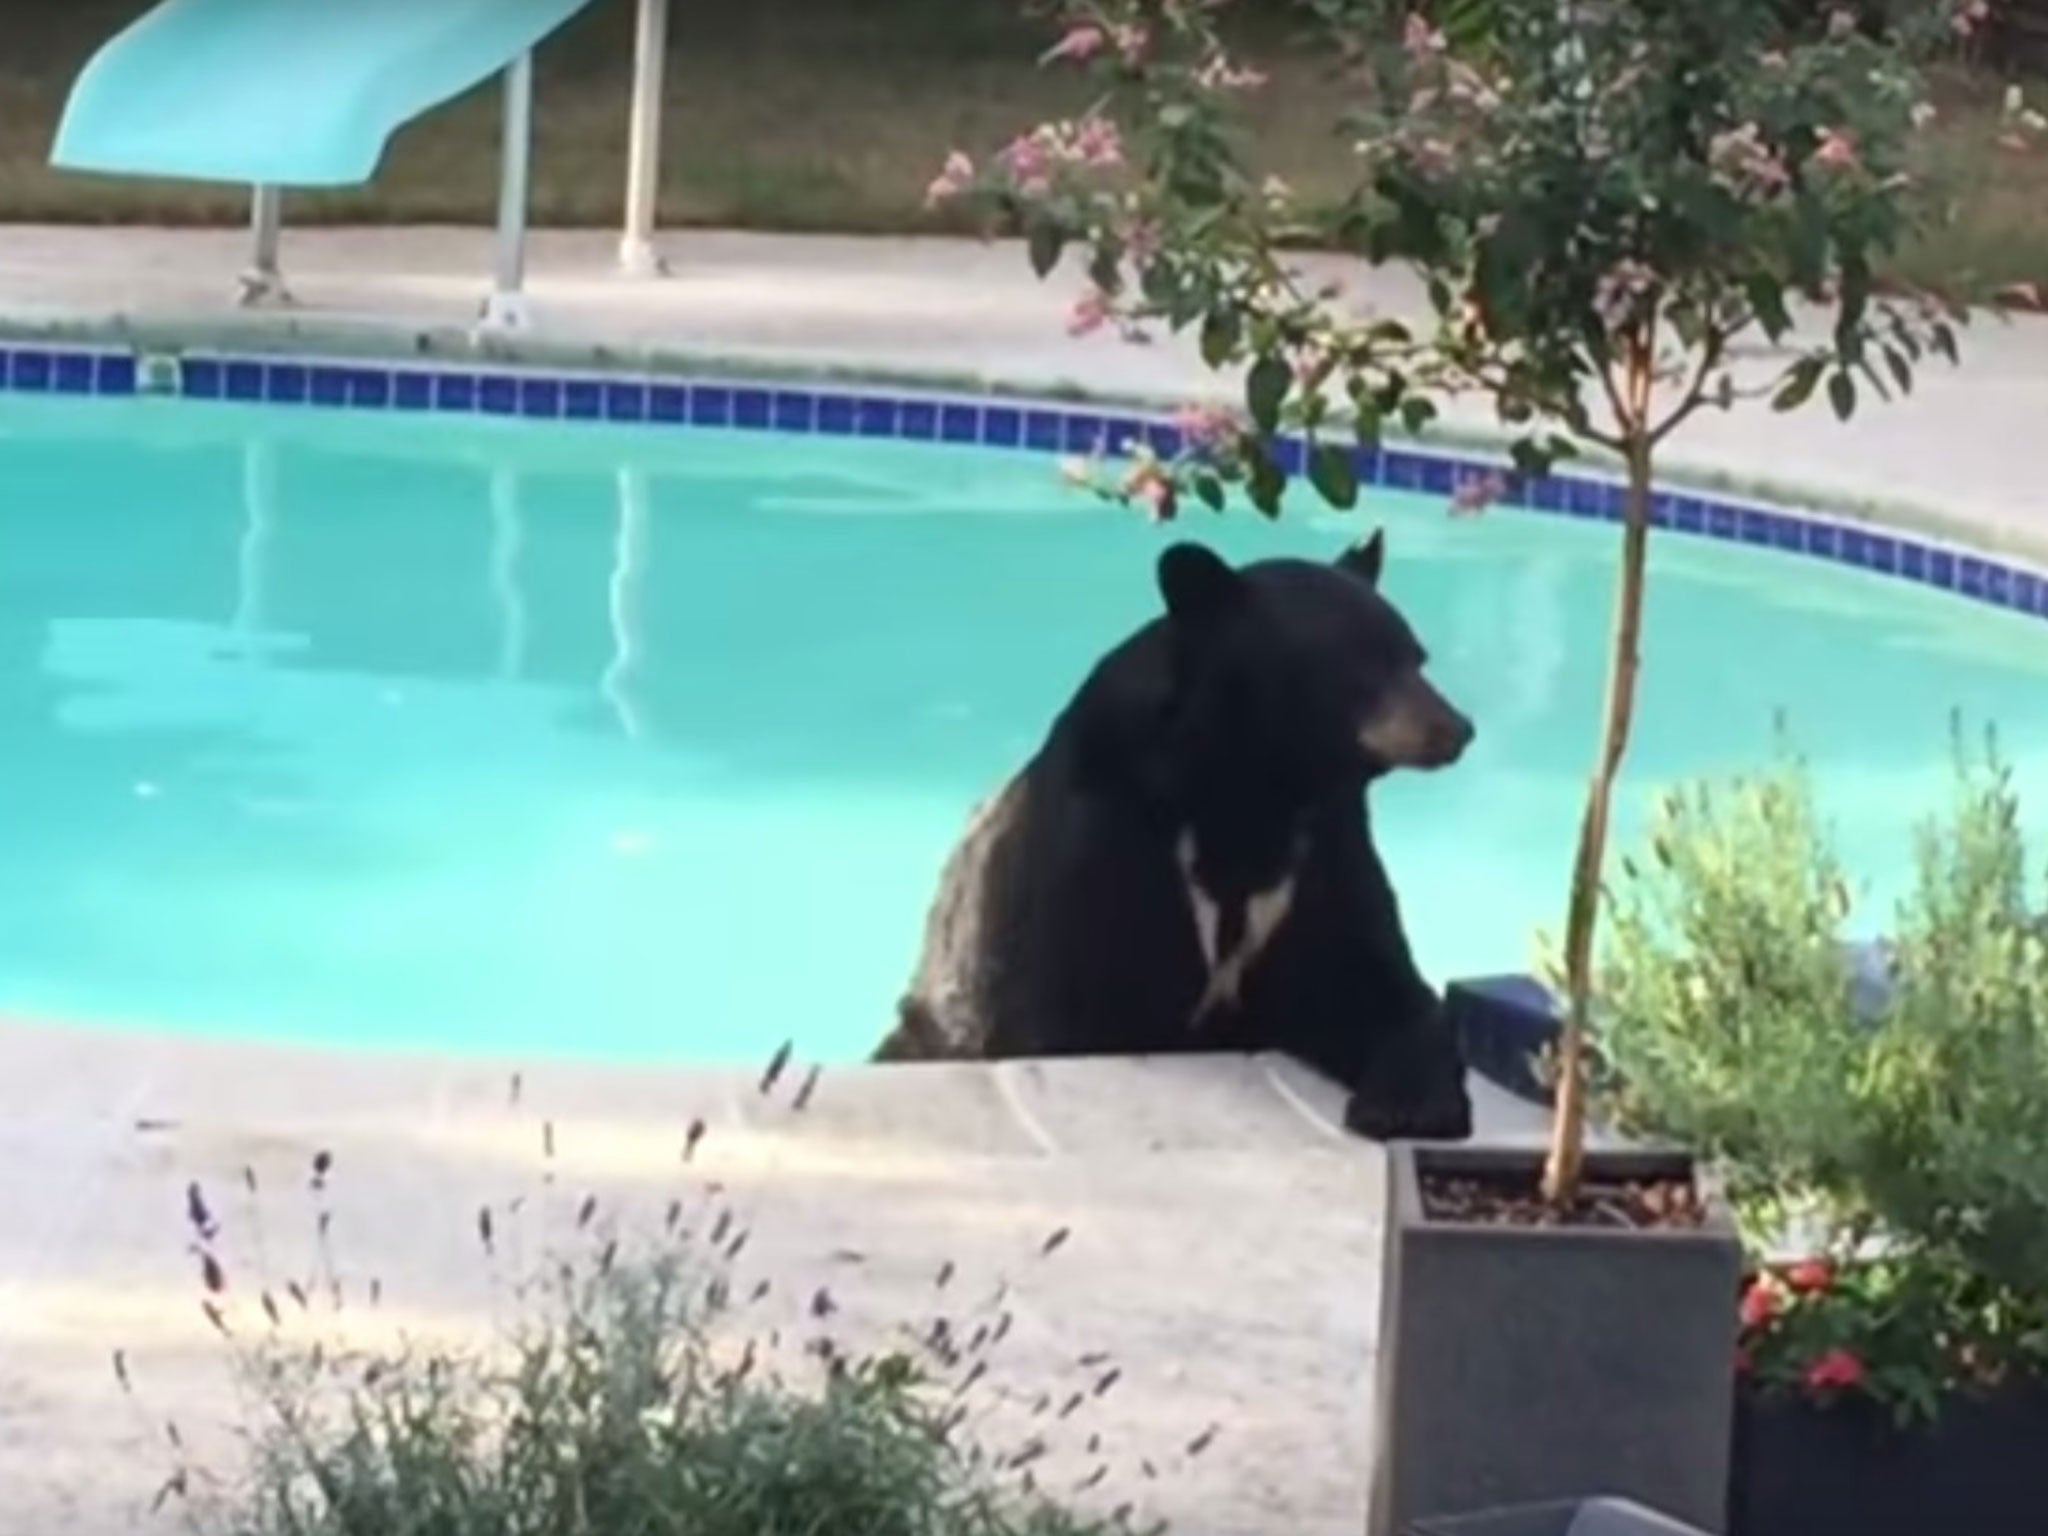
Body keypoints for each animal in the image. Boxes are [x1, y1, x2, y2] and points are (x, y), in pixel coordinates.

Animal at [876, 528, 1474, 1146]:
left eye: (1416, 657)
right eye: (1356, 663)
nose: (1456, 728)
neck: (1252, 789)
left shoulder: (1325, 843)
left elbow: (1371, 979)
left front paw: (1409, 1105)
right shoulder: (1108, 835)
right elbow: (1086, 997)